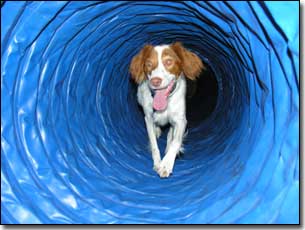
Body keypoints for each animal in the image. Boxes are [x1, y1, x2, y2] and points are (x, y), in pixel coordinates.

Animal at [129, 41, 204, 178]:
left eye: (169, 62)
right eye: (148, 64)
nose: (155, 81)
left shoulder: (181, 120)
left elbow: (175, 141)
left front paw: (166, 163)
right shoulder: (148, 118)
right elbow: (153, 143)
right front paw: (158, 162)